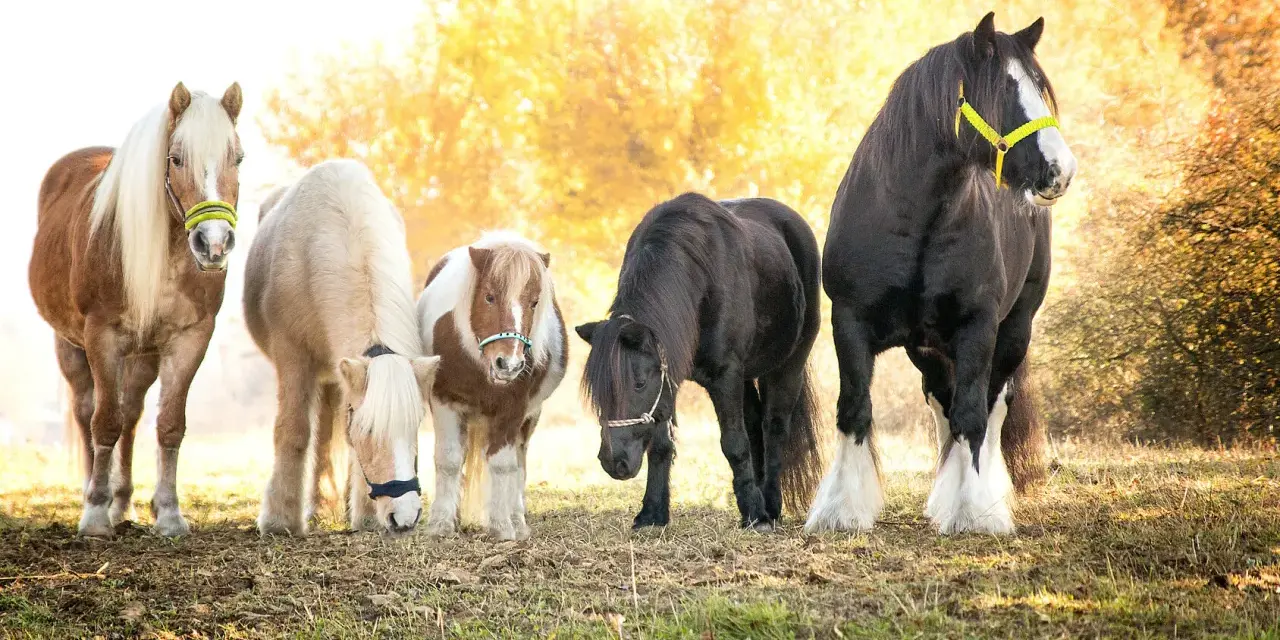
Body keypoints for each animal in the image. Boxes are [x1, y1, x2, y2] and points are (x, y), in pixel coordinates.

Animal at [28, 82, 244, 537]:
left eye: (238, 157)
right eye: (176, 158)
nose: (214, 244)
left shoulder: (189, 339)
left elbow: (169, 425)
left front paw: (169, 513)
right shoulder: (102, 336)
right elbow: (103, 422)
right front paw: (94, 514)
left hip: (143, 356)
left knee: (130, 413)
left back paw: (122, 501)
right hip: (70, 346)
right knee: (88, 412)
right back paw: (96, 496)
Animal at [243, 159, 440, 536]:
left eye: (415, 425)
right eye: (369, 430)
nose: (405, 518)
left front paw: (365, 513)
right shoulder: (293, 358)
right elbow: (293, 432)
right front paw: (279, 519)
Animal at [417, 232, 567, 540]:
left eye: (534, 302)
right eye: (489, 296)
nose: (508, 364)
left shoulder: (513, 411)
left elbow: (503, 464)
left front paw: (502, 527)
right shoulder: (444, 400)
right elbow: (449, 460)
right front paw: (441, 524)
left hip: (529, 418)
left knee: (519, 462)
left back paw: (517, 520)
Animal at [576, 193, 824, 530]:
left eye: (638, 383)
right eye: (598, 392)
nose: (614, 462)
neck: (699, 281)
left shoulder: (725, 375)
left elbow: (734, 444)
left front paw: (754, 515)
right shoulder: (671, 376)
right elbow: (662, 445)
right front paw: (652, 514)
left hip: (788, 364)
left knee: (774, 427)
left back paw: (770, 506)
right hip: (747, 376)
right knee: (755, 423)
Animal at [805, 13, 1077, 536]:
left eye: (1040, 87)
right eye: (1004, 90)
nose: (1060, 170)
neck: (917, 221)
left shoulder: (977, 327)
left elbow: (972, 414)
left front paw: (972, 512)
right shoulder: (850, 322)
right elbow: (855, 409)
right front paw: (841, 511)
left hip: (1015, 330)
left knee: (992, 406)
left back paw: (986, 496)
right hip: (926, 349)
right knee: (939, 403)